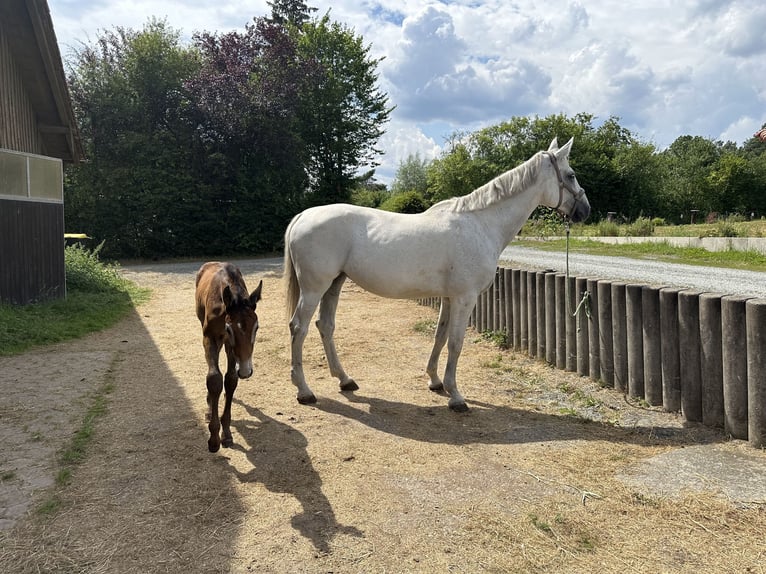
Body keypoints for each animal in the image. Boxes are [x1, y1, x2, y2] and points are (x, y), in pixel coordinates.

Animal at [284, 137, 592, 412]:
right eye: (571, 175)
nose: (585, 211)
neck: (481, 224)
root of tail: (303, 216)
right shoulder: (465, 298)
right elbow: (456, 343)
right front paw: (456, 396)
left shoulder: (448, 297)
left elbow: (440, 336)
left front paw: (435, 382)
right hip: (314, 288)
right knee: (299, 327)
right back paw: (305, 391)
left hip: (334, 284)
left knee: (325, 326)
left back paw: (345, 380)